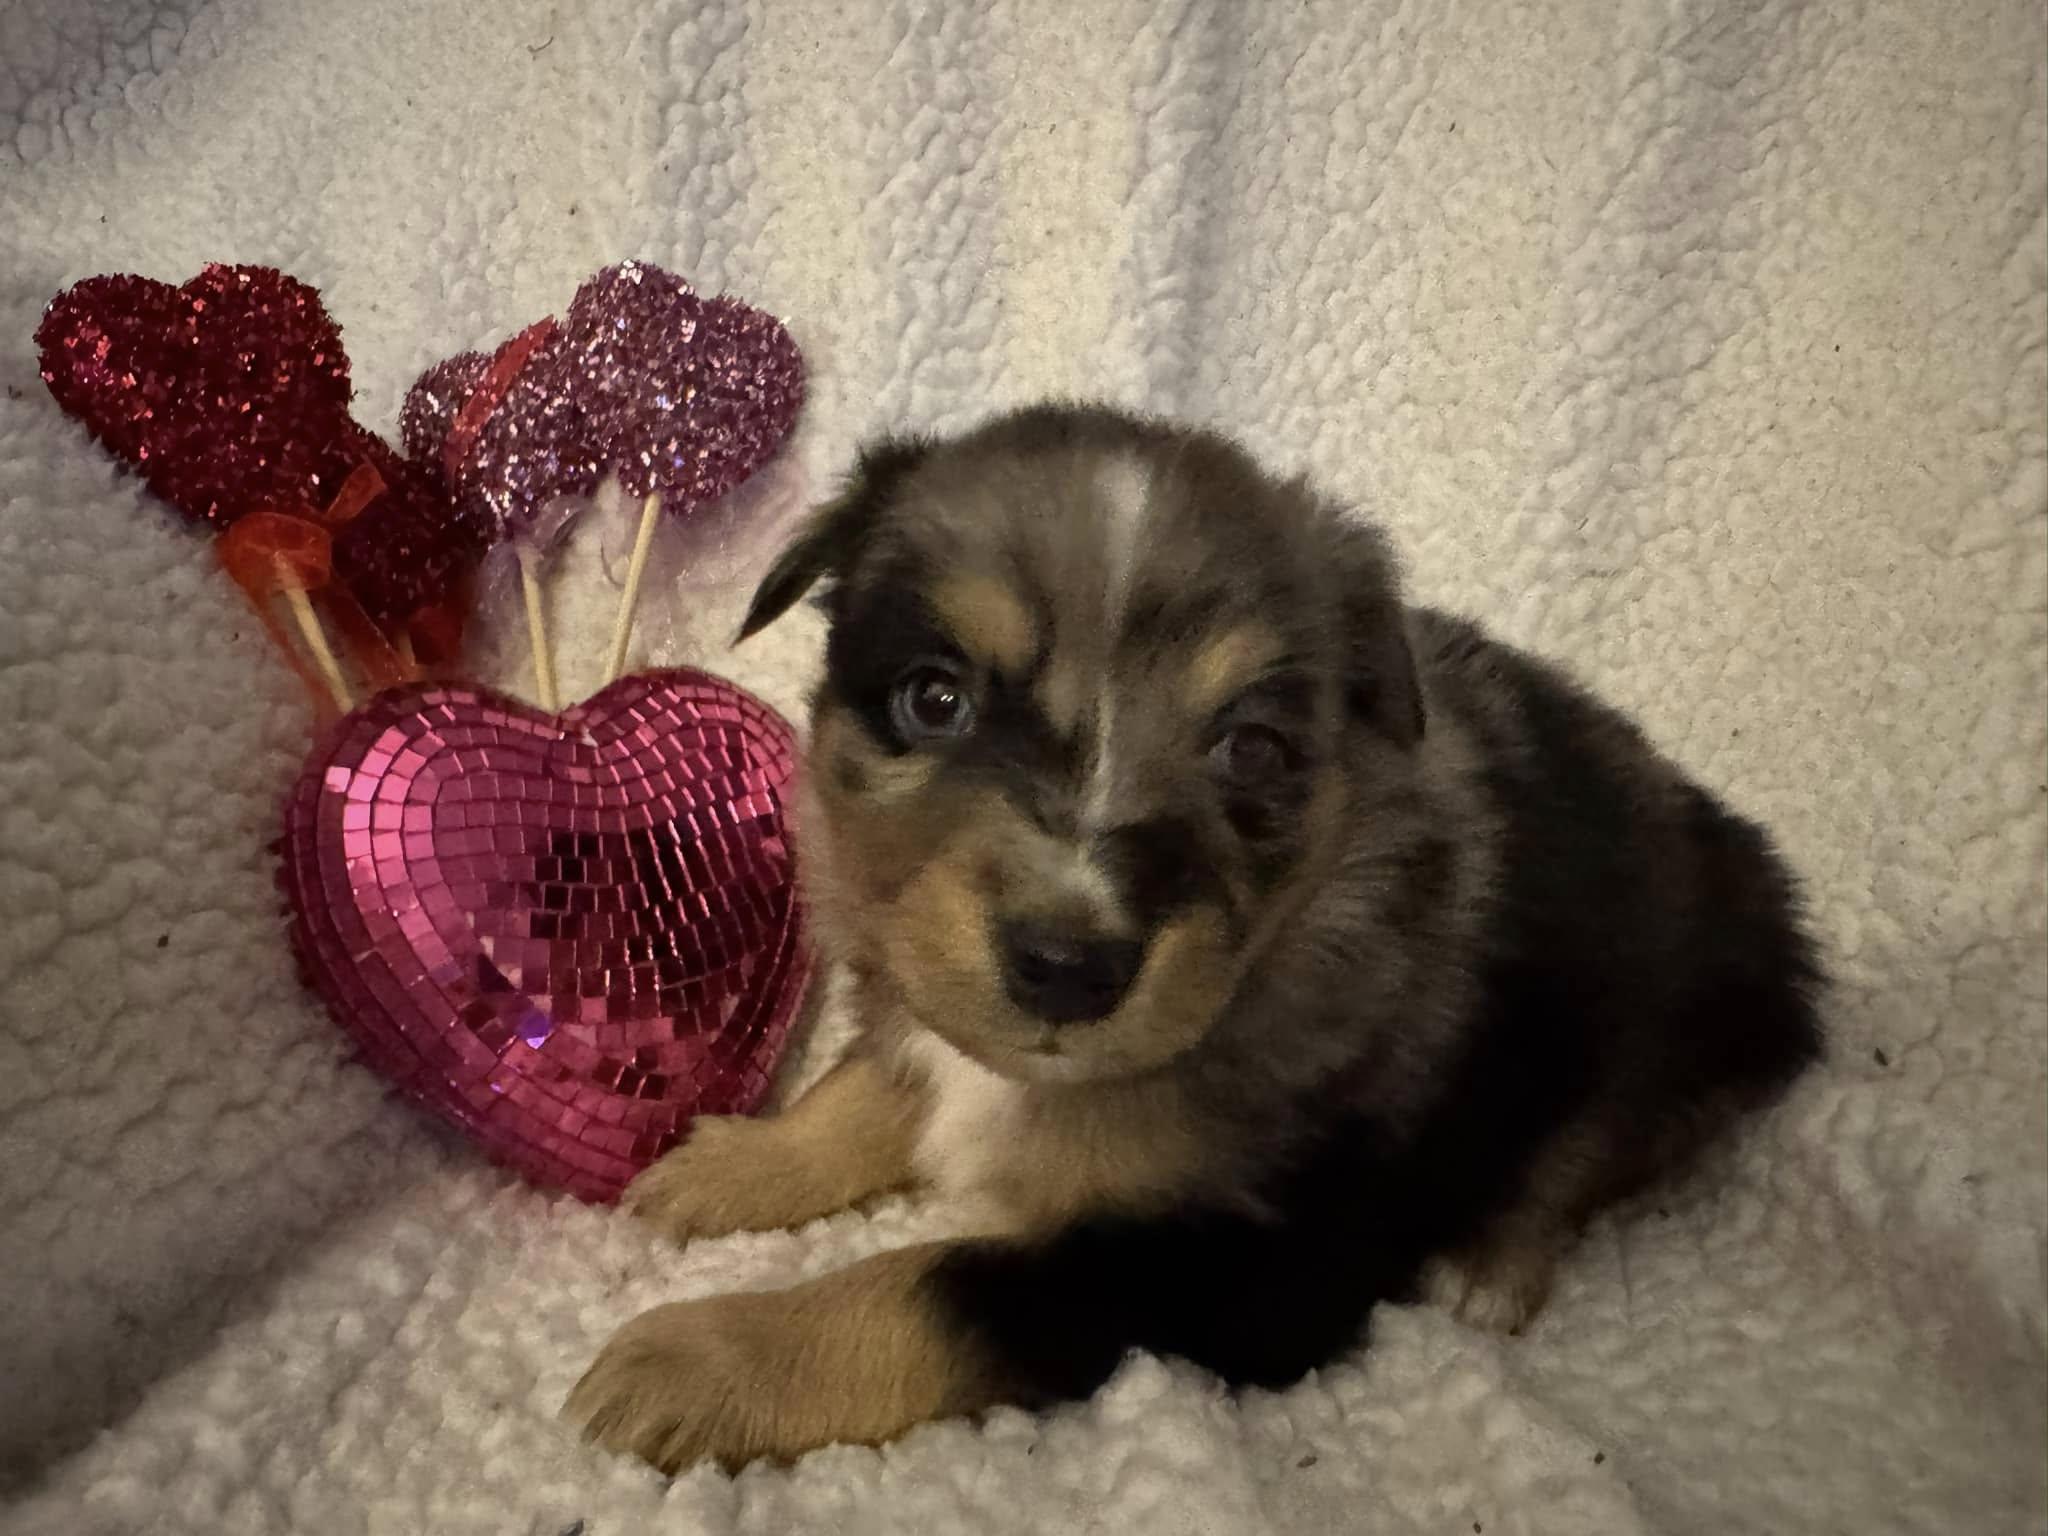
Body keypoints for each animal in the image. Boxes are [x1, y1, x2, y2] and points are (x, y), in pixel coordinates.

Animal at [564, 403, 1824, 1473]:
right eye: (934, 699)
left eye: (1250, 749)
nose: (1067, 970)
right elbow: (873, 1084)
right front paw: (730, 1163)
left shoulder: (1242, 1264)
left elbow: (935, 1285)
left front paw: (696, 1357)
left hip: (1668, 1016)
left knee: (1591, 1143)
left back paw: (1488, 1265)